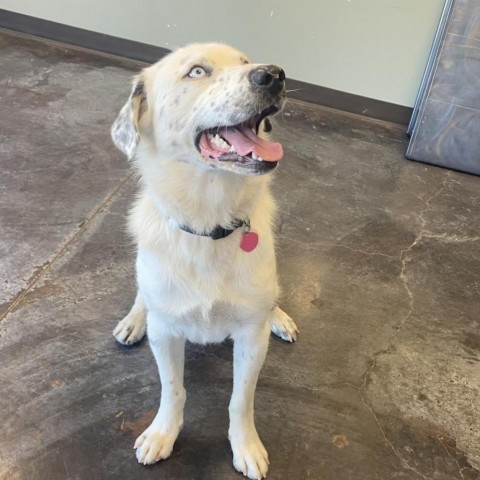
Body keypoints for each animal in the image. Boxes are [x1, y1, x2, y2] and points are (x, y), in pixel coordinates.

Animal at [112, 43, 298, 478]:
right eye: (196, 71)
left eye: (245, 61)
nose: (274, 75)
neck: (209, 225)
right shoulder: (166, 333)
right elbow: (173, 389)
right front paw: (162, 433)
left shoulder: (250, 336)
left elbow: (241, 399)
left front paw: (245, 445)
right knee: (142, 295)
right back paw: (133, 320)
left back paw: (280, 317)